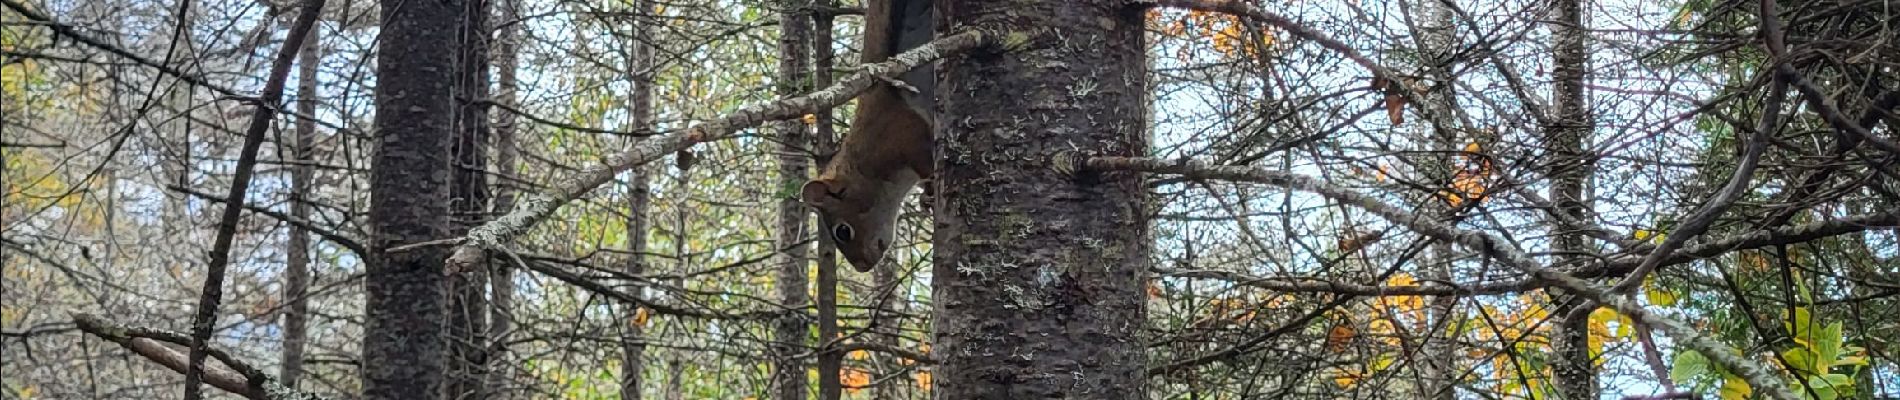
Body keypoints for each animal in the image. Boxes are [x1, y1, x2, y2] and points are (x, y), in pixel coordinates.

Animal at [794, 0, 934, 272]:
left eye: (843, 231)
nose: (863, 267)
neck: (863, 163)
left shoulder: (908, 136)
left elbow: (928, 166)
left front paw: (931, 193)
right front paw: (924, 199)